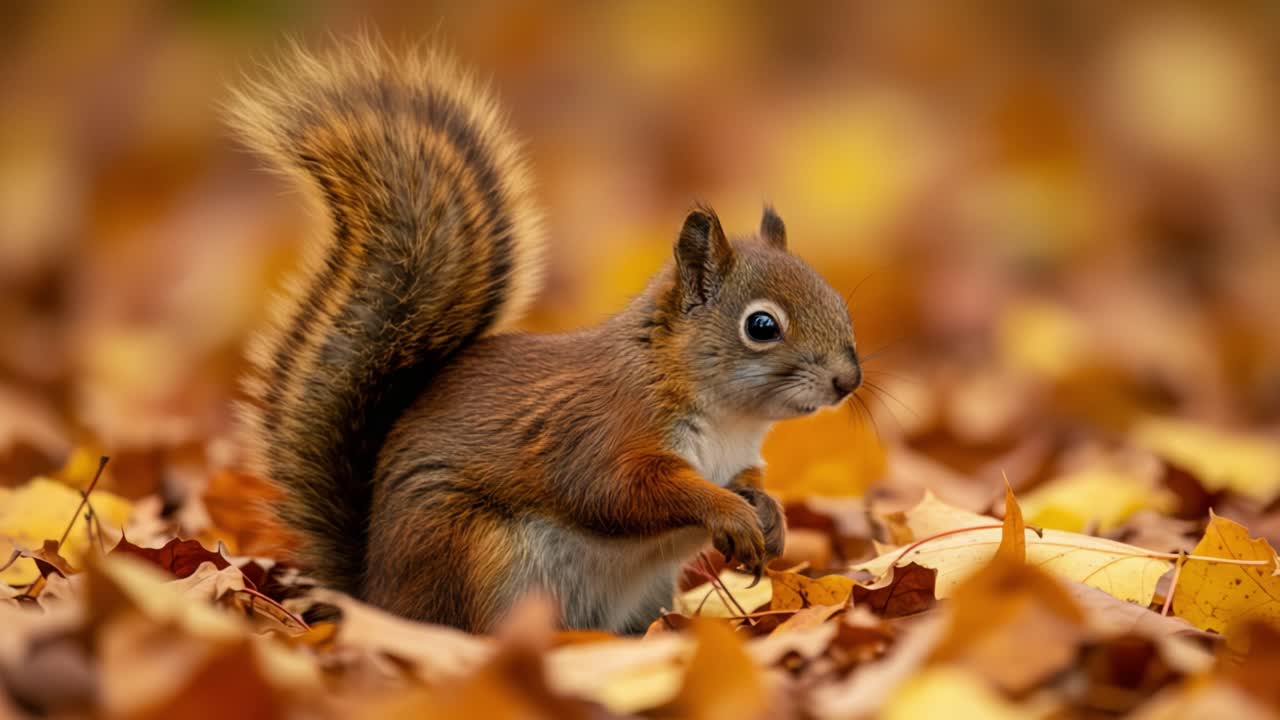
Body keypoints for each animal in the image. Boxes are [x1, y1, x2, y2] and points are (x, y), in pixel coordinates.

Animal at [230, 39, 862, 634]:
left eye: (836, 299)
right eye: (762, 326)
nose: (848, 380)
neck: (728, 418)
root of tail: (375, 598)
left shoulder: (735, 458)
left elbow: (747, 484)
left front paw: (770, 516)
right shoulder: (603, 431)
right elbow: (621, 491)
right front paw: (728, 513)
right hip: (476, 553)